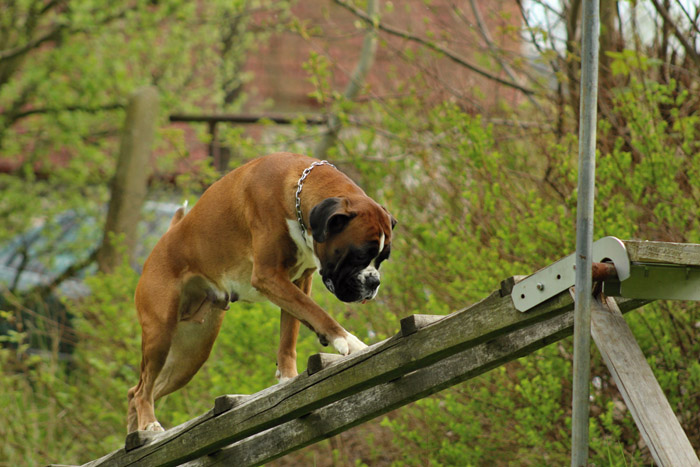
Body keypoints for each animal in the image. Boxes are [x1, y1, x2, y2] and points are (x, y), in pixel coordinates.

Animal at [126, 154, 396, 436]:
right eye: (359, 255)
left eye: (382, 259)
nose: (374, 281)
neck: (297, 190)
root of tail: (163, 240)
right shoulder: (269, 276)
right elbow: (316, 312)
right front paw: (348, 341)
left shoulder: (298, 281)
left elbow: (290, 333)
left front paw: (288, 378)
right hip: (161, 334)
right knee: (143, 389)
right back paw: (149, 423)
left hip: (190, 354)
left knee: (136, 391)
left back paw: (137, 434)